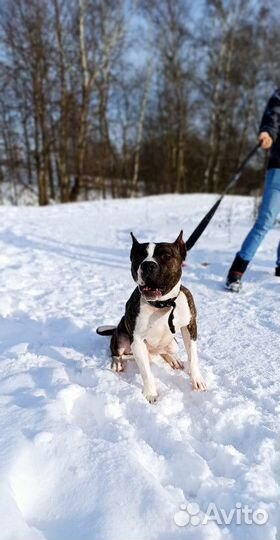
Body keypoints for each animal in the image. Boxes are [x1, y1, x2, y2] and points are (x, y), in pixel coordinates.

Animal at [96, 230, 206, 402]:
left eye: (166, 256)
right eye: (139, 256)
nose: (148, 264)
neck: (162, 304)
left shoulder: (190, 327)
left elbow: (193, 356)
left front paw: (197, 379)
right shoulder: (137, 341)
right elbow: (146, 373)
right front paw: (151, 394)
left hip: (173, 344)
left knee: (164, 351)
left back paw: (173, 359)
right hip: (121, 338)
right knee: (116, 352)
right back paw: (117, 362)